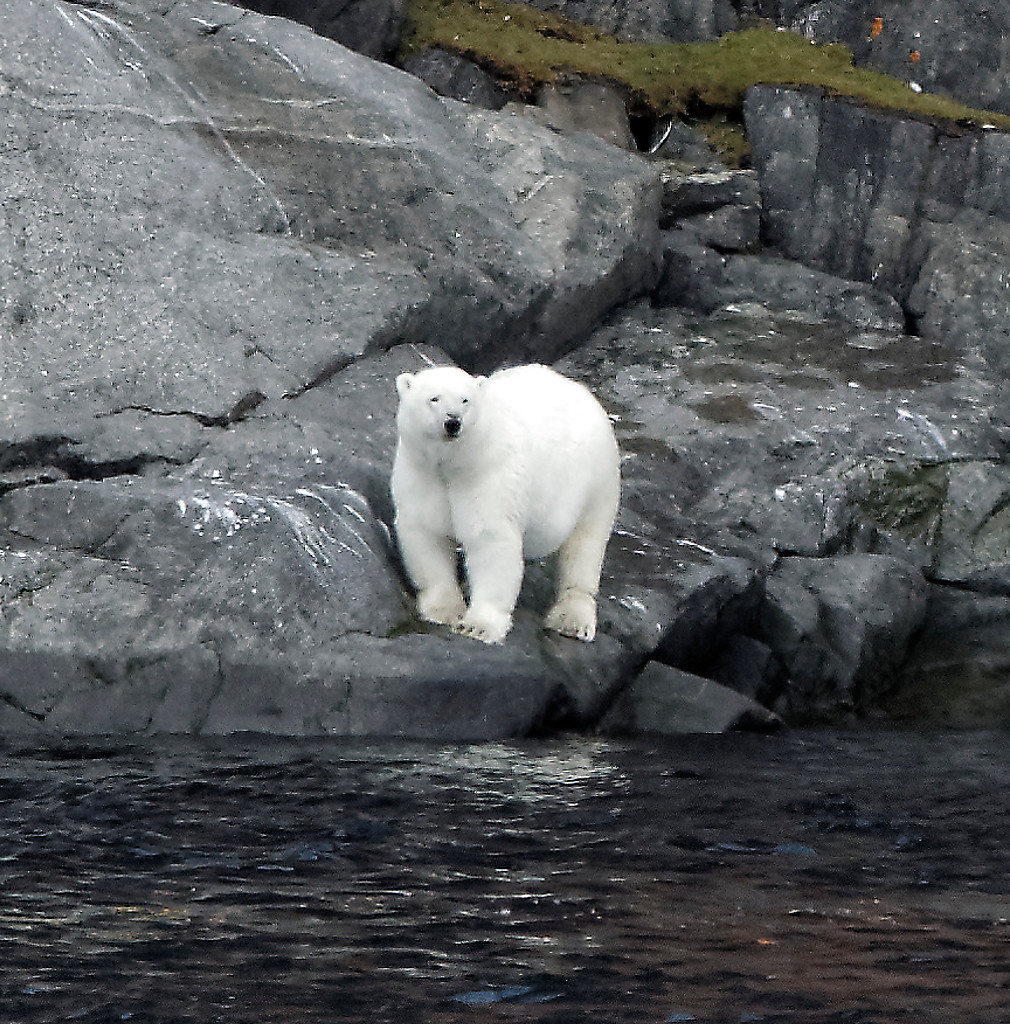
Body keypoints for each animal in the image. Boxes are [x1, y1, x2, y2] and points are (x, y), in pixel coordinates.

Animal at [389, 364, 618, 643]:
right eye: (434, 398)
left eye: (465, 400)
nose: (453, 422)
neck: (456, 465)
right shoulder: (422, 475)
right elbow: (427, 533)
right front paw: (444, 610)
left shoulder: (490, 476)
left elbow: (490, 540)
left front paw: (478, 626)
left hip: (596, 482)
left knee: (585, 545)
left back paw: (571, 618)